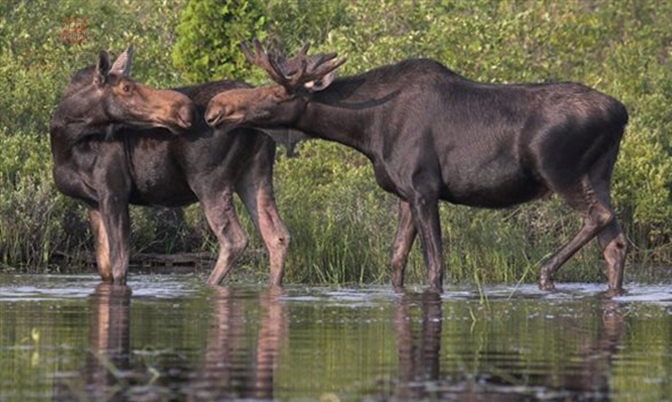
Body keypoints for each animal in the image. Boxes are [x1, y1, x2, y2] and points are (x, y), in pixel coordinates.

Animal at [50, 48, 294, 286]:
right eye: (126, 87)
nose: (185, 109)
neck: (65, 142)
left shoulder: (114, 191)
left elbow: (119, 266)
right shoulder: (92, 202)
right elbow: (105, 268)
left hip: (209, 179)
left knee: (234, 239)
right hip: (254, 173)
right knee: (277, 235)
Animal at [206, 40, 632, 292]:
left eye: (277, 93)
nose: (215, 109)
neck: (366, 130)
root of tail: (622, 112)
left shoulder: (424, 189)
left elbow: (435, 266)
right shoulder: (404, 194)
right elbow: (396, 260)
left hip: (560, 171)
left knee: (598, 217)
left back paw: (545, 273)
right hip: (600, 173)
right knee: (615, 241)